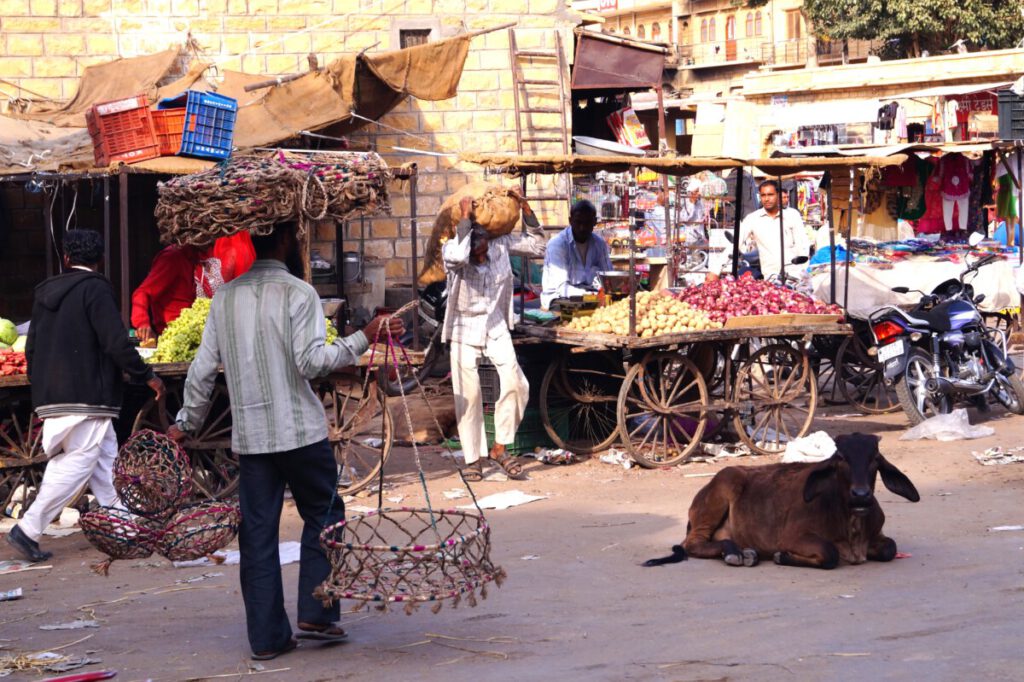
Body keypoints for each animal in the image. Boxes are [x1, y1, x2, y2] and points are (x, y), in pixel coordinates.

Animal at [643, 430, 925, 569]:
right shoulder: (792, 537)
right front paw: (782, 557)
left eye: (874, 458)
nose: (861, 495)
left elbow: (890, 548)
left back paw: (743, 552)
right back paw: (736, 553)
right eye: (841, 458)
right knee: (692, 544)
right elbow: (830, 553)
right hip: (723, 485)